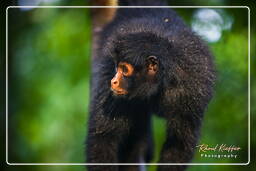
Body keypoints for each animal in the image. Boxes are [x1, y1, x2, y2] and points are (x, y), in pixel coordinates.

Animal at [86, 0, 216, 171]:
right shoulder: (108, 70)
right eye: (116, 67)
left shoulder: (193, 87)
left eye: (124, 69)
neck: (163, 80)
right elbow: (104, 138)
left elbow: (178, 144)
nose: (113, 81)